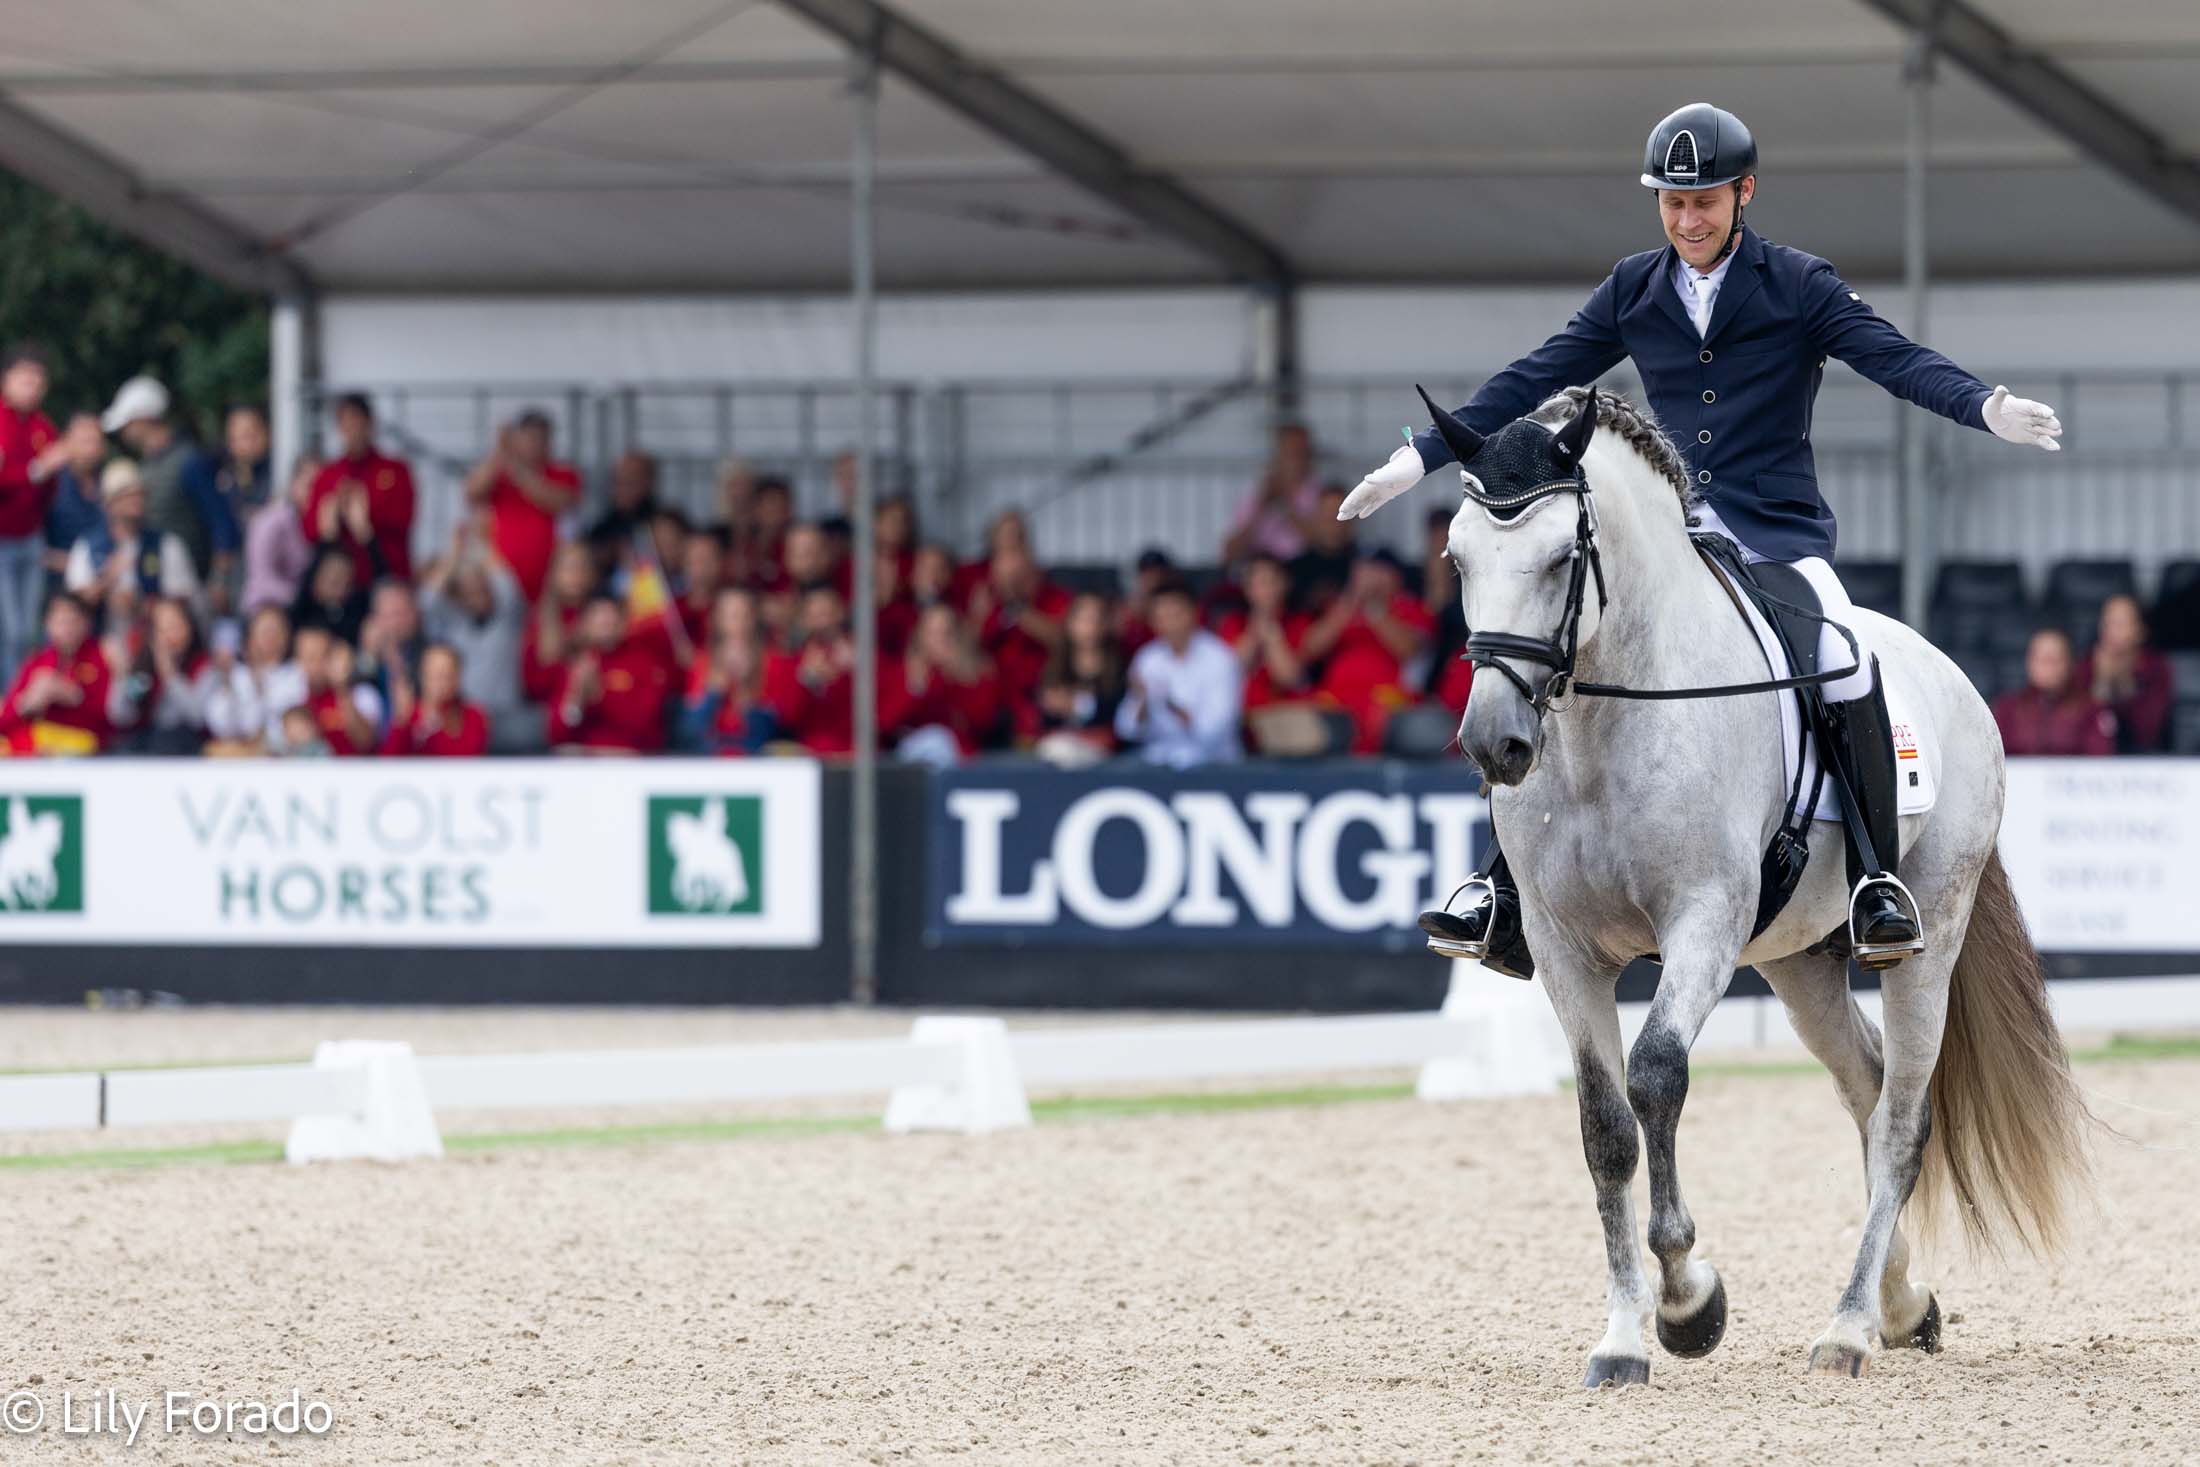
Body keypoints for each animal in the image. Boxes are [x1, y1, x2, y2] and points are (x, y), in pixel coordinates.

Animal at [1364, 387, 2085, 1390]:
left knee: (1903, 1118)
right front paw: (1623, 1338)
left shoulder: (1701, 919)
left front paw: (1688, 1302)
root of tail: (1952, 676)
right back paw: (1900, 1304)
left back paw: (1849, 1327)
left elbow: (1657, 1075)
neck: (1608, 718)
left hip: (1928, 934)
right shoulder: (1560, 945)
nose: (1494, 744)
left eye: (1561, 559)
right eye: (1458, 558)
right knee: (1866, 1090)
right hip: (1799, 962)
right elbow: (1604, 1124)